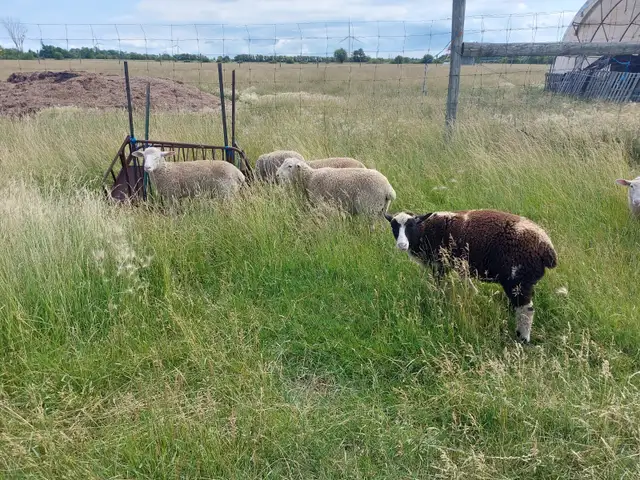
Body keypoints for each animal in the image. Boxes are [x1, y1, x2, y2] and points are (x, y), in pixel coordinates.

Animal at [385, 209, 558, 343]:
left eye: (411, 225)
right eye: (393, 227)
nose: (401, 245)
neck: (426, 230)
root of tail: (547, 248)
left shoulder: (439, 266)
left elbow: (440, 288)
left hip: (517, 279)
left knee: (526, 310)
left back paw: (522, 339)